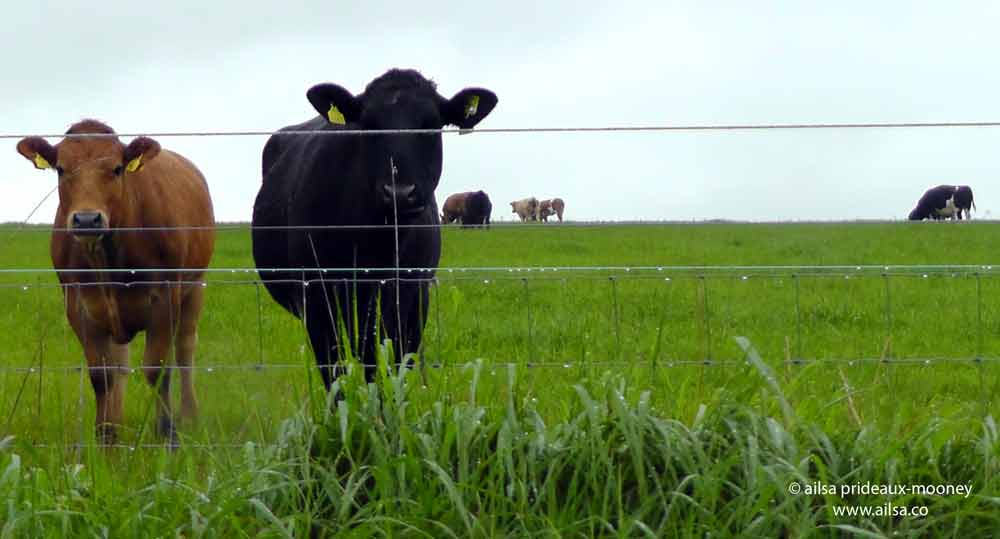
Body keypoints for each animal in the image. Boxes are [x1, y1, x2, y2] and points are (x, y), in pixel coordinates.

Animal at [15, 120, 215, 446]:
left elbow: (157, 369)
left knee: (185, 350)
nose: (86, 220)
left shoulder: (164, 297)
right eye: (60, 169)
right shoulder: (79, 305)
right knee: (121, 365)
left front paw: (167, 434)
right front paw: (106, 437)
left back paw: (190, 415)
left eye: (118, 168)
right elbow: (102, 376)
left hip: (195, 286)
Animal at [251, 68, 497, 389]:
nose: (399, 192)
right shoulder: (317, 302)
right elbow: (336, 375)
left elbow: (387, 368)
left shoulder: (411, 301)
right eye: (368, 125)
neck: (375, 246)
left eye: (431, 125)